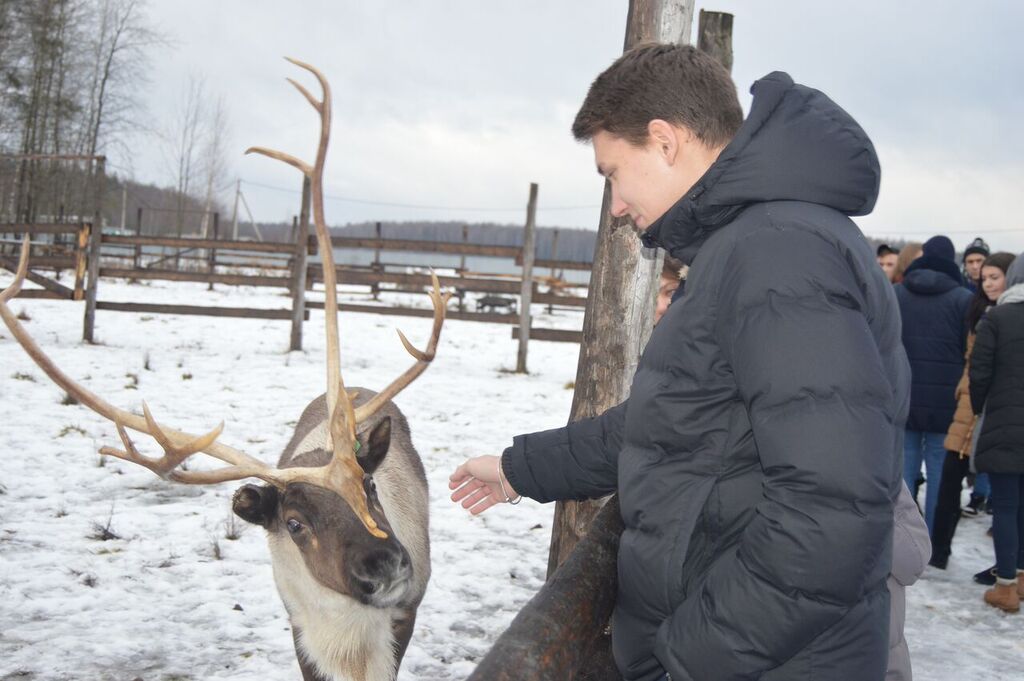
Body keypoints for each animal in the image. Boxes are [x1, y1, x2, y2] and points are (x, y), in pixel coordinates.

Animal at [0, 58, 451, 681]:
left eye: (369, 486)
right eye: (295, 523)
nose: (384, 563)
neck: (349, 639)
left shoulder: (405, 617)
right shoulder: (301, 632)